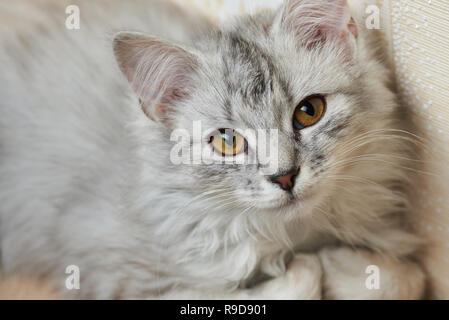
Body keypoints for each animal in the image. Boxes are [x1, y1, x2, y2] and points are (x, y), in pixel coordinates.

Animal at [0, 0, 424, 300]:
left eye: (309, 112)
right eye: (227, 141)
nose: (285, 177)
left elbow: (404, 279)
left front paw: (336, 262)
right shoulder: (114, 271)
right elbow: (298, 280)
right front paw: (311, 262)